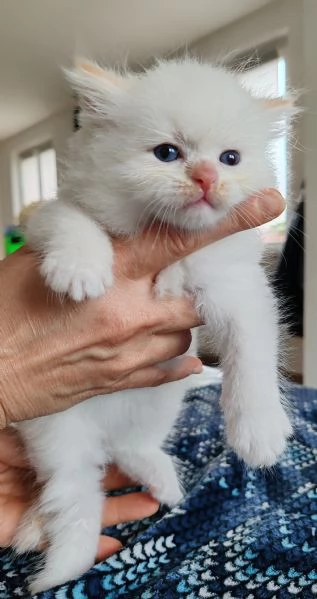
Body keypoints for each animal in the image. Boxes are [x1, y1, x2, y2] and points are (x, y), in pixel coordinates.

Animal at [14, 58, 294, 592]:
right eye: (167, 153)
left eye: (230, 158)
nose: (206, 177)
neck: (169, 238)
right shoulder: (49, 217)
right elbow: (73, 221)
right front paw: (80, 270)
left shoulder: (241, 290)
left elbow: (251, 356)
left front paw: (259, 432)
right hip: (54, 425)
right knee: (73, 488)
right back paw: (59, 561)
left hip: (162, 396)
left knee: (129, 450)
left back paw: (163, 481)